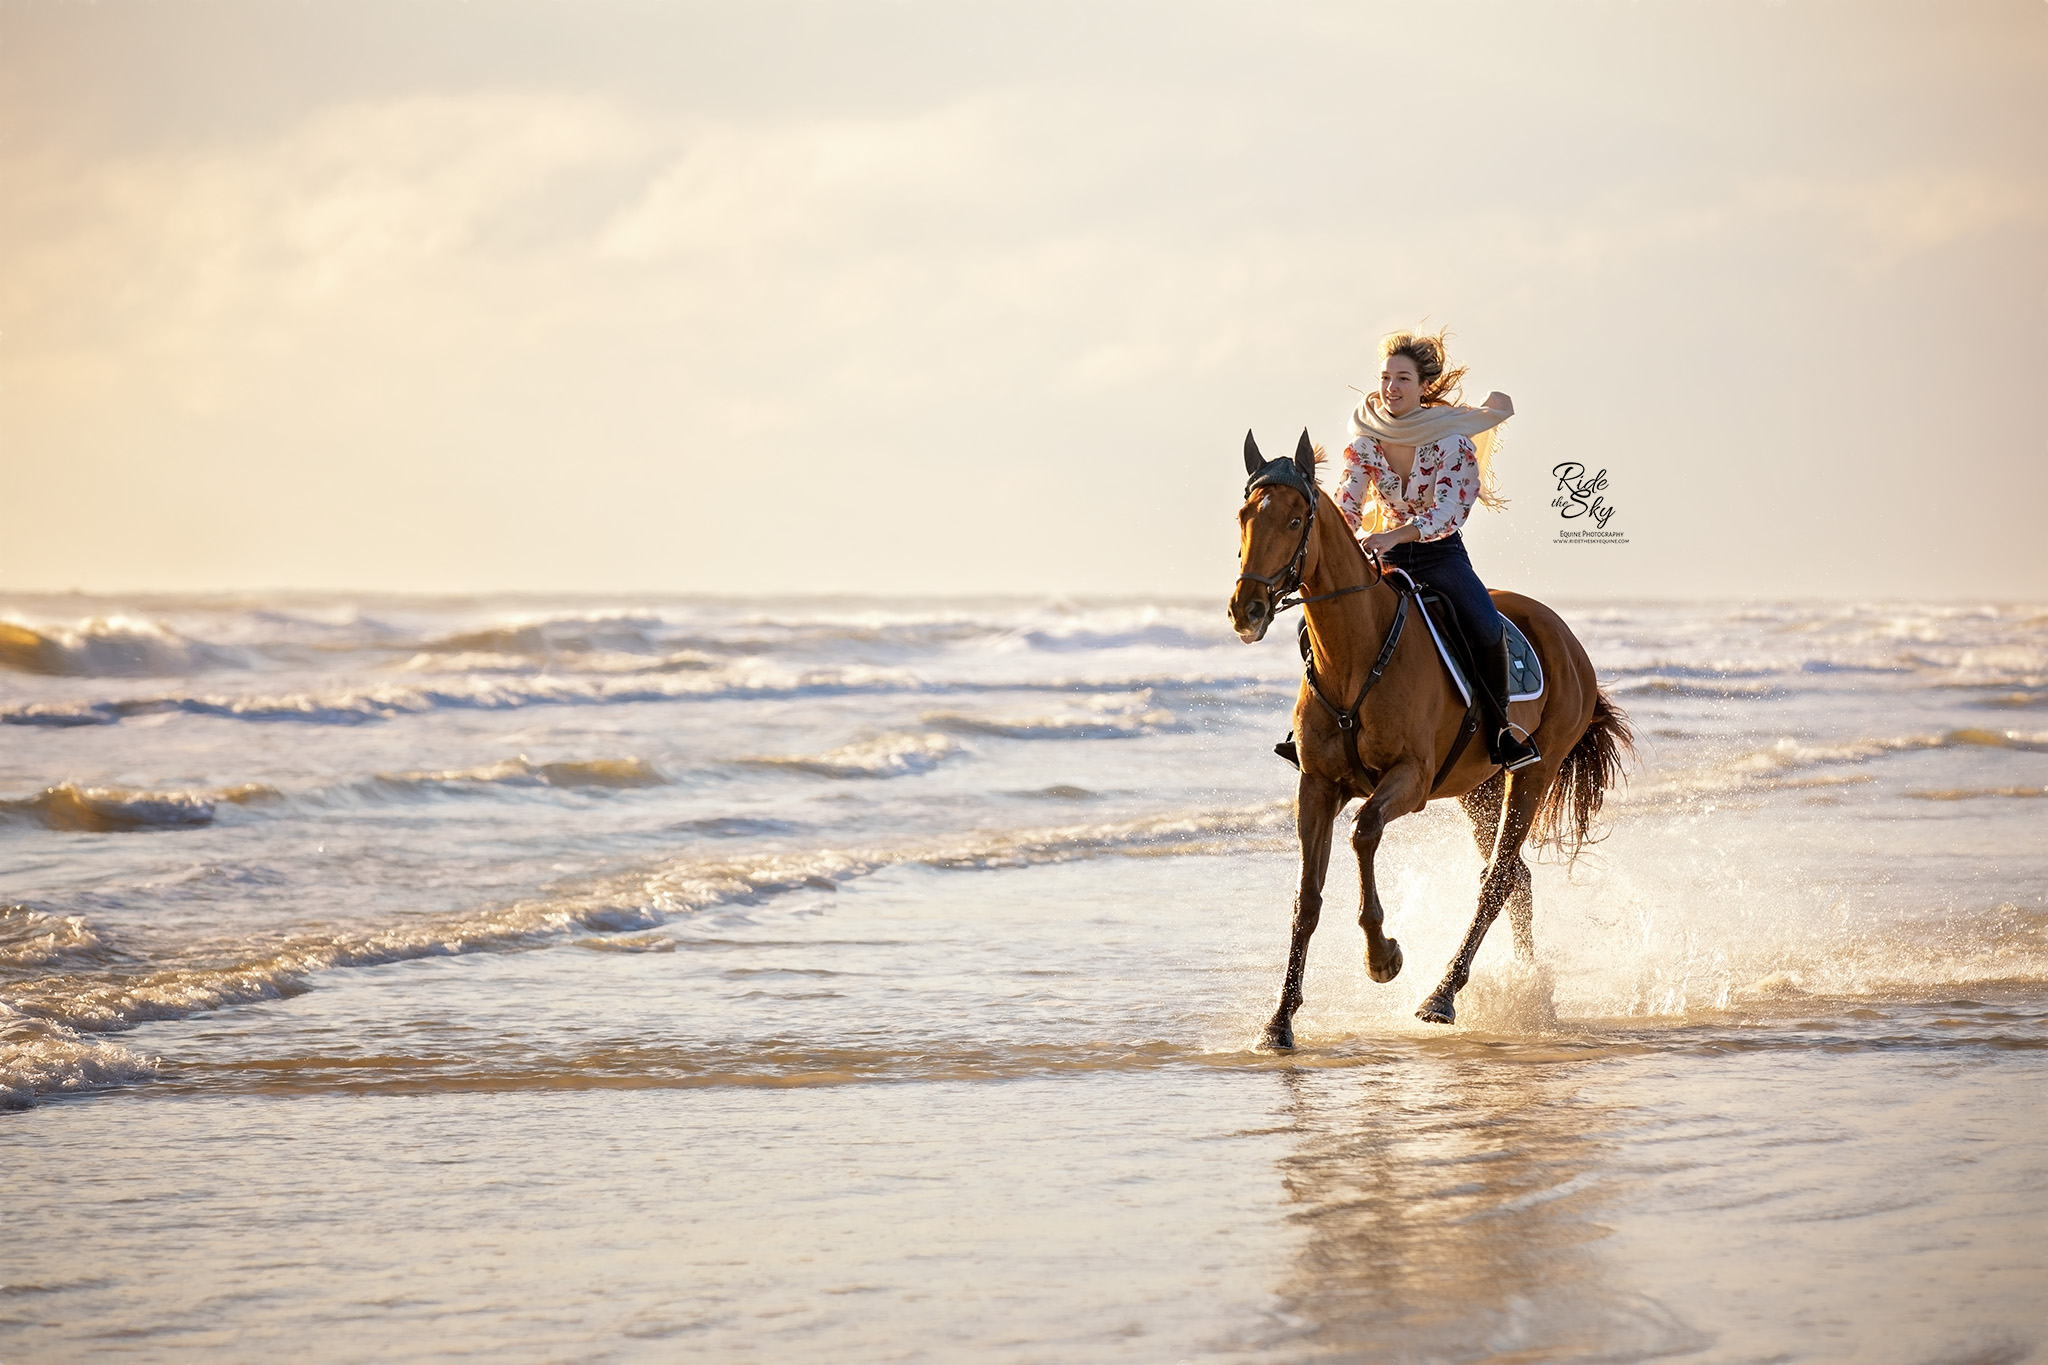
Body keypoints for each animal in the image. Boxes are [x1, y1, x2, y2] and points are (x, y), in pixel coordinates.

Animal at [1220, 429, 1622, 1047]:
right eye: (1244, 516)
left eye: (1294, 520)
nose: (1248, 609)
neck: (1356, 653)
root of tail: (1568, 639)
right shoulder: (1316, 785)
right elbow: (1307, 898)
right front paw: (1279, 1021)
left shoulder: (1408, 780)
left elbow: (1363, 832)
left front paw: (1382, 957)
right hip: (1478, 789)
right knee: (1517, 880)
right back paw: (1528, 991)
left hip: (1532, 772)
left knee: (1496, 881)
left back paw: (1443, 995)